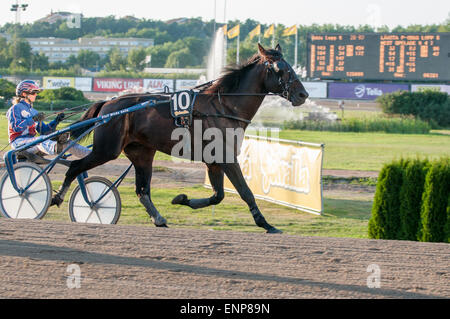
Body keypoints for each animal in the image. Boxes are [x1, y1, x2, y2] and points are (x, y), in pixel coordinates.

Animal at [51, 43, 308, 234]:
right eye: (281, 69)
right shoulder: (226, 158)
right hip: (106, 150)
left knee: (142, 190)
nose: (303, 94)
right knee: (74, 167)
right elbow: (245, 192)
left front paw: (181, 199)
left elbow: (218, 196)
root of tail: (108, 103)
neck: (224, 107)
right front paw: (266, 224)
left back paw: (158, 218)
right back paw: (58, 197)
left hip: (142, 153)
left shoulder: (214, 161)